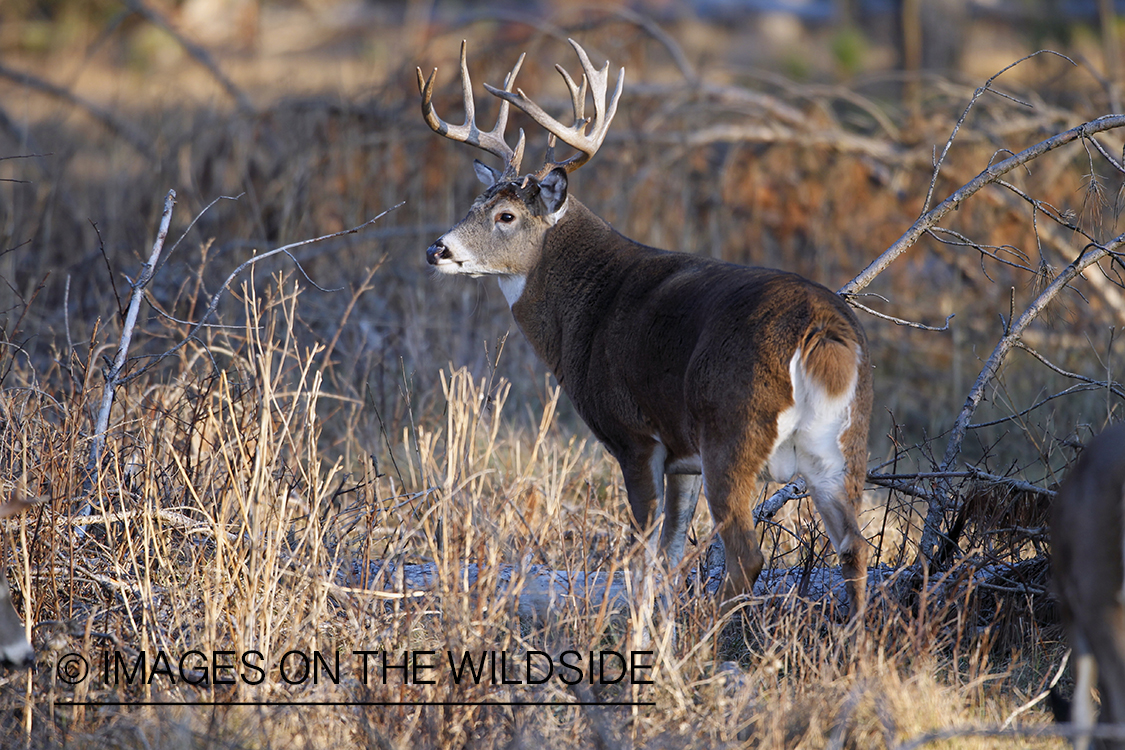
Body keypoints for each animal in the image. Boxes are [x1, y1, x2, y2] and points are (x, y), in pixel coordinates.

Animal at [418, 38, 873, 620]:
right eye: (475, 203)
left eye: (505, 216)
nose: (437, 249)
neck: (588, 307)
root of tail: (823, 333)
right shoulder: (682, 457)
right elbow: (671, 554)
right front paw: (659, 621)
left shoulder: (634, 434)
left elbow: (642, 552)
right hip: (843, 446)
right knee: (854, 546)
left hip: (732, 428)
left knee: (747, 556)